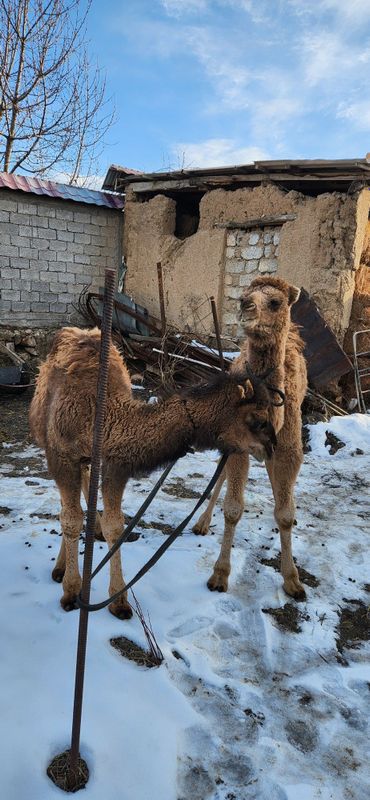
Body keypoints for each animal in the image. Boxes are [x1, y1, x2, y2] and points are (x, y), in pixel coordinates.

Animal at [29, 324, 278, 620]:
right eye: (258, 420)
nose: (271, 446)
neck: (100, 416)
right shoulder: (61, 456)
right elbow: (70, 519)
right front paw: (70, 592)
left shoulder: (114, 464)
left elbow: (115, 526)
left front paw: (119, 601)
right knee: (71, 506)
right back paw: (61, 566)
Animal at [192, 276, 308, 600]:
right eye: (245, 294)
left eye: (275, 302)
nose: (245, 306)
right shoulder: (237, 444)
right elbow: (232, 509)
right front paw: (219, 575)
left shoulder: (290, 449)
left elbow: (284, 513)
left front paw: (293, 580)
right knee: (220, 474)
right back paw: (201, 522)